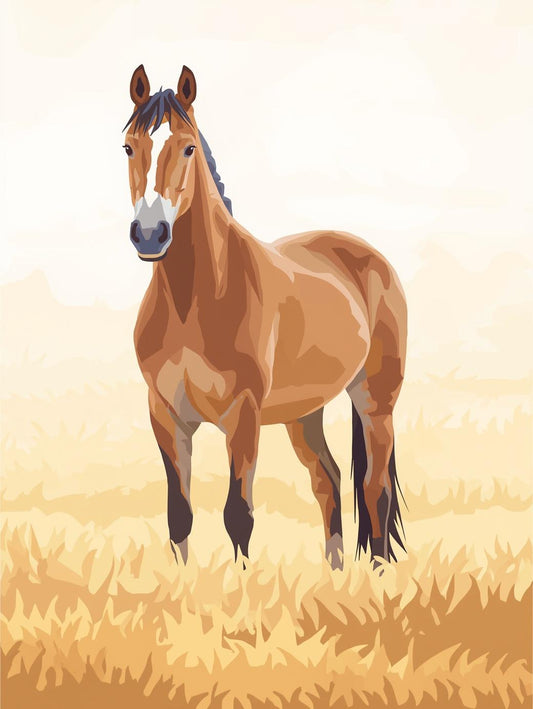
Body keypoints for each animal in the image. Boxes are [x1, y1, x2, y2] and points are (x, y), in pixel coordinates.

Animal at [123, 64, 407, 571]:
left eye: (189, 147)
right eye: (128, 147)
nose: (150, 234)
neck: (194, 301)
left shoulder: (244, 416)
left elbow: (238, 514)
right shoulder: (166, 415)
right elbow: (179, 515)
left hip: (377, 401)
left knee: (375, 492)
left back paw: (376, 577)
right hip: (304, 413)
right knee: (329, 480)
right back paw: (334, 576)